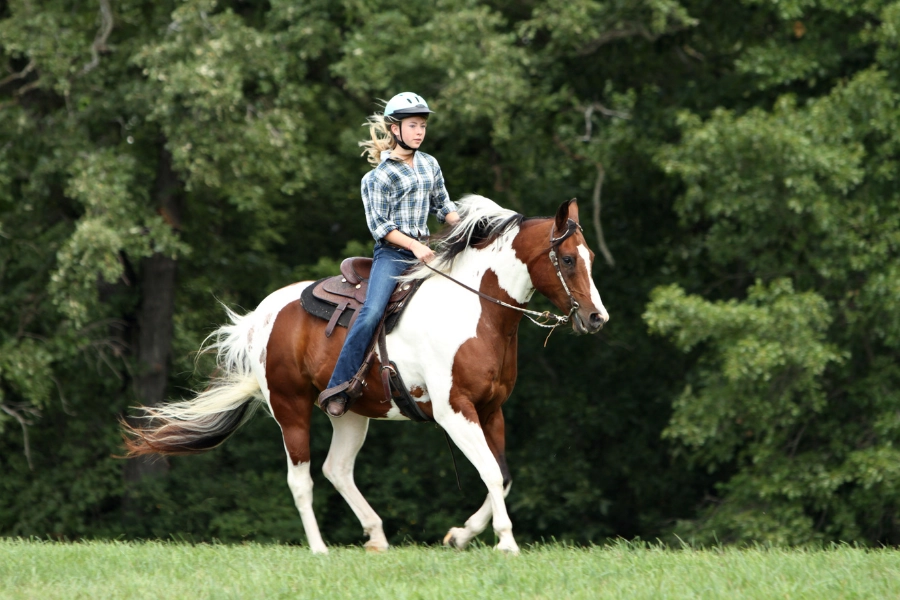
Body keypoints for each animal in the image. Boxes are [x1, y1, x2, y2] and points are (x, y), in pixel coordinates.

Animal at [121, 196, 612, 552]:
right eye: (568, 260)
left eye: (589, 255)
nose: (596, 318)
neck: (475, 310)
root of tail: (261, 318)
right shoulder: (455, 411)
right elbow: (491, 472)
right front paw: (506, 543)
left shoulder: (492, 409)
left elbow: (503, 476)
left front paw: (460, 535)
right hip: (290, 407)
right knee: (301, 479)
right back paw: (319, 549)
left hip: (350, 412)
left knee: (337, 468)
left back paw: (376, 536)